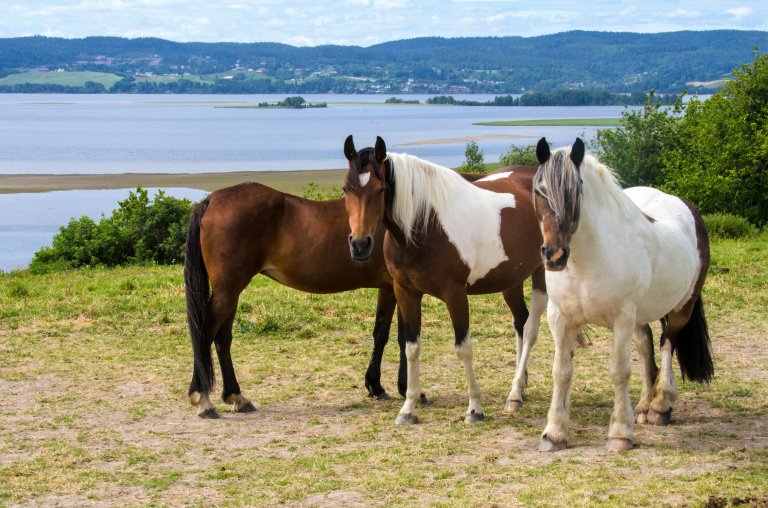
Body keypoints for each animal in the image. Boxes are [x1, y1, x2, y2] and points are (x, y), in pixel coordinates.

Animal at [342, 135, 544, 424]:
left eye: (380, 189)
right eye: (346, 189)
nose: (359, 245)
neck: (425, 226)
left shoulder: (455, 294)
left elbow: (463, 347)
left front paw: (474, 409)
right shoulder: (405, 292)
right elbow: (411, 347)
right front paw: (408, 408)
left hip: (543, 272)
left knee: (531, 329)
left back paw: (516, 393)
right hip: (511, 279)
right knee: (521, 321)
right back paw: (519, 388)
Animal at [532, 137, 712, 450]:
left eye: (576, 191)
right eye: (538, 189)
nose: (554, 255)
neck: (585, 263)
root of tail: (687, 208)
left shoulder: (622, 318)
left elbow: (619, 371)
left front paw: (620, 434)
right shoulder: (560, 318)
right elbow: (561, 372)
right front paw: (554, 433)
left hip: (681, 309)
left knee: (667, 344)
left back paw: (660, 406)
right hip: (640, 317)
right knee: (646, 345)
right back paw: (642, 406)